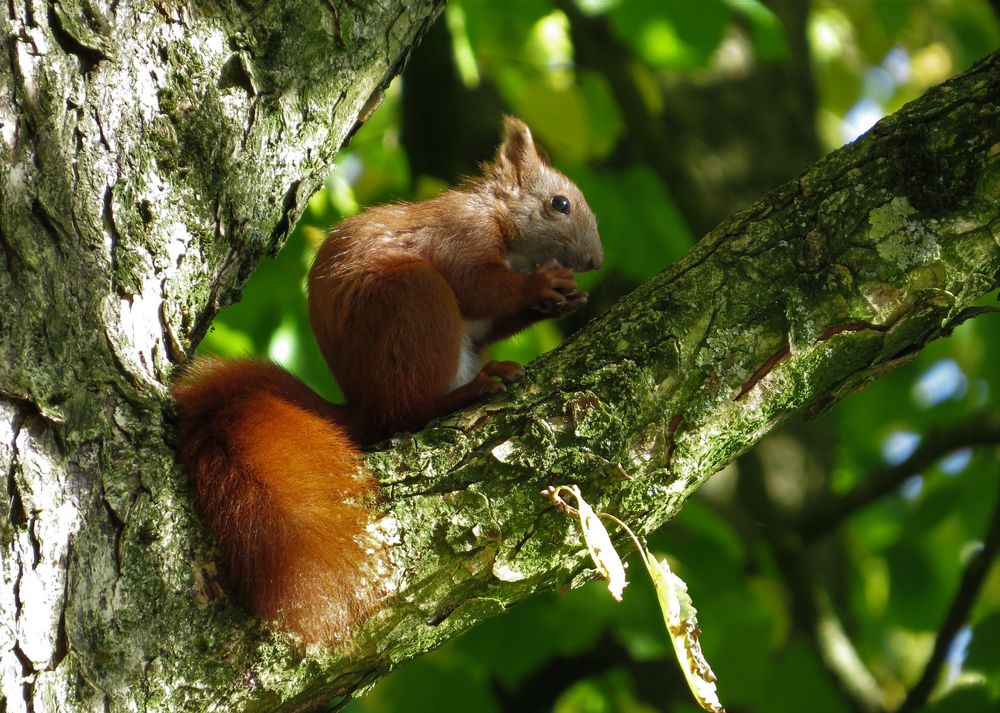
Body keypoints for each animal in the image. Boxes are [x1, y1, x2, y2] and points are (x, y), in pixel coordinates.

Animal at [174, 115, 600, 640]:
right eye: (560, 204)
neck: (501, 222)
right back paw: (472, 389)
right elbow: (480, 287)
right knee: (409, 411)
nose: (596, 261)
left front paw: (564, 299)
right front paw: (542, 285)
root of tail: (366, 407)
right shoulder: (459, 237)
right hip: (416, 300)